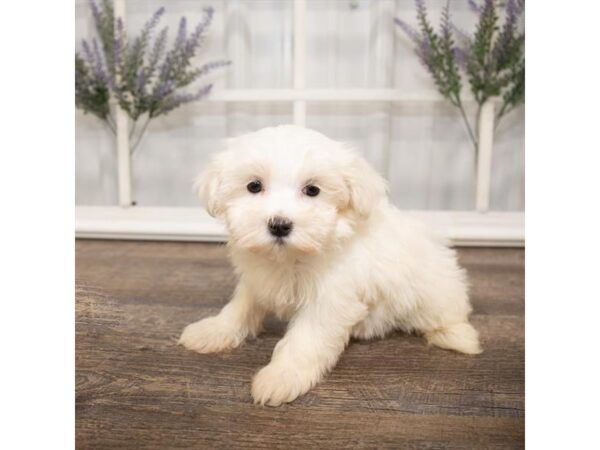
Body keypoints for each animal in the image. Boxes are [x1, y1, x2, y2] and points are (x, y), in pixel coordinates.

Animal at [179, 124, 482, 408]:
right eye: (254, 186)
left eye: (313, 190)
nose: (280, 225)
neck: (290, 258)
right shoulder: (257, 280)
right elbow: (240, 307)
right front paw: (213, 330)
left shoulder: (329, 300)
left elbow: (305, 339)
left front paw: (281, 377)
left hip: (434, 292)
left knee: (449, 313)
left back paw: (458, 336)